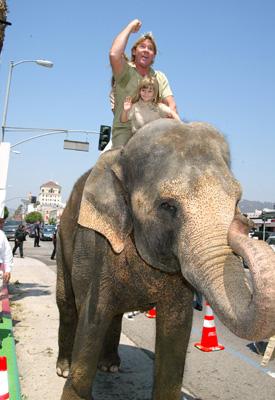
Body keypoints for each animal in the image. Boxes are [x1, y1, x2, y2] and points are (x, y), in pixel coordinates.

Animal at [56, 117, 275, 398]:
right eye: (168, 206)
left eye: (237, 200)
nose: (246, 221)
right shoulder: (100, 247)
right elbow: (93, 317)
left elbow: (176, 328)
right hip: (62, 239)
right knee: (67, 303)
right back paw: (64, 368)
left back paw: (110, 366)